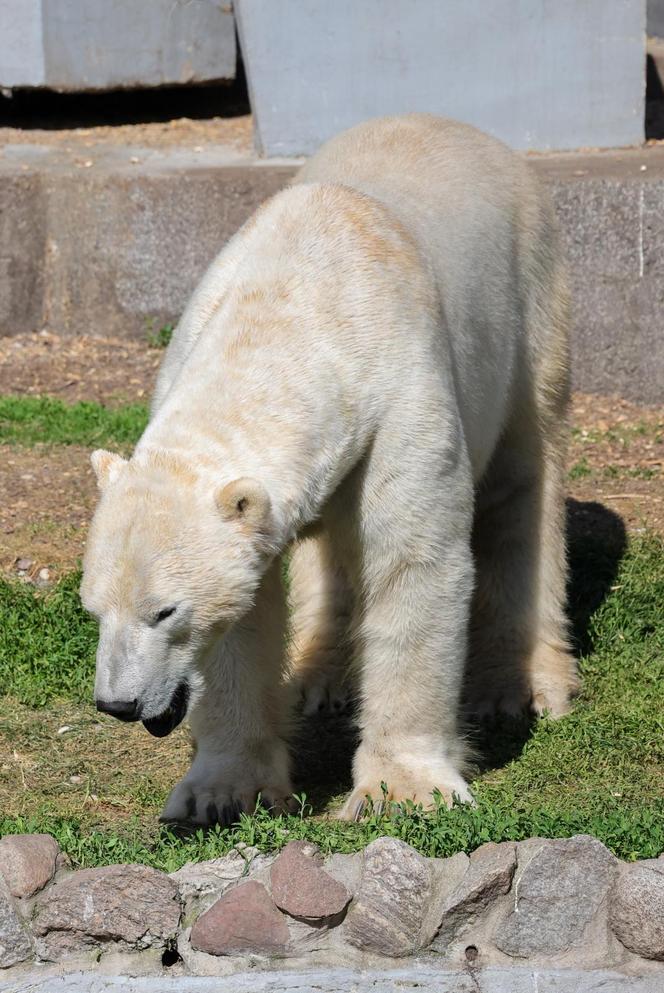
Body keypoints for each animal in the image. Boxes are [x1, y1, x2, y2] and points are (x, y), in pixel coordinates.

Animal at [80, 114, 576, 820]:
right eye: (93, 608)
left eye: (165, 612)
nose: (119, 704)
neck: (294, 309)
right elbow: (246, 609)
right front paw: (219, 794)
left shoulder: (403, 397)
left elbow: (412, 563)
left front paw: (403, 792)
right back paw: (319, 677)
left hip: (530, 296)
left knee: (524, 482)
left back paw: (520, 686)